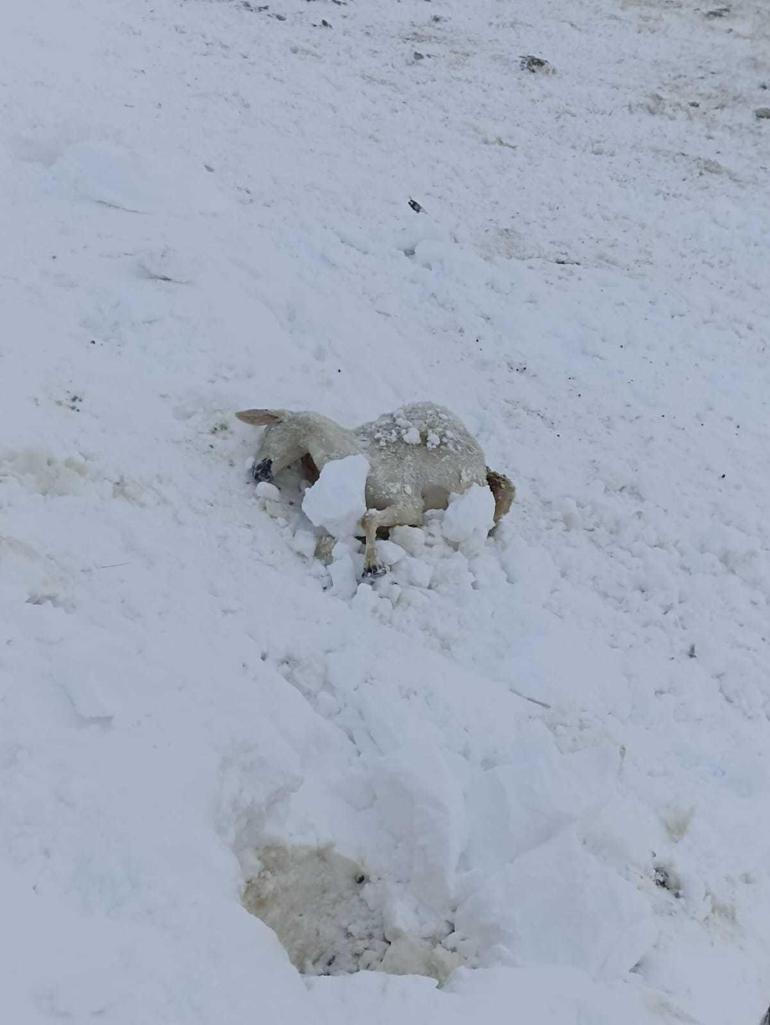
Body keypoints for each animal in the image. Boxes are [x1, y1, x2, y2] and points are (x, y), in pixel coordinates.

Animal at [233, 401, 512, 578]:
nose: (258, 472)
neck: (357, 457)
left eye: (271, 430)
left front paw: (373, 568)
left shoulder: (409, 503)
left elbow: (369, 517)